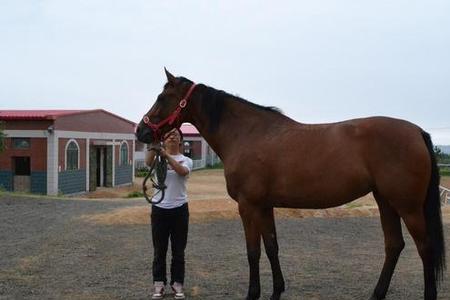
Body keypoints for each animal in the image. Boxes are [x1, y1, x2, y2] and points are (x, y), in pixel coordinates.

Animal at [135, 69, 444, 300]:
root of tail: (417, 131)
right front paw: (276, 291)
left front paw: (253, 294)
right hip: (385, 201)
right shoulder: (264, 206)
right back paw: (376, 294)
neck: (246, 134)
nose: (141, 131)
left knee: (425, 248)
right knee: (394, 246)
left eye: (163, 96)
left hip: (408, 206)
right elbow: (272, 246)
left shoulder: (248, 206)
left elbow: (253, 251)